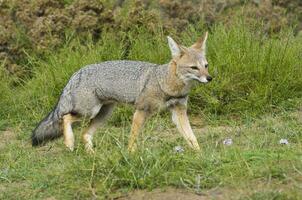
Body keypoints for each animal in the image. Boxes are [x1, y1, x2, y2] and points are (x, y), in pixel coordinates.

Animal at [30, 32, 211, 153]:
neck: (165, 82)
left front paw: (200, 155)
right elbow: (133, 138)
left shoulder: (179, 111)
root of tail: (76, 73)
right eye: (194, 68)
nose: (209, 78)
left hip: (103, 115)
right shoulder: (141, 111)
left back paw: (92, 155)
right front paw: (131, 156)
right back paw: (69, 143)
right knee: (65, 117)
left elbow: (192, 137)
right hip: (89, 112)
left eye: (206, 65)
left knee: (85, 134)